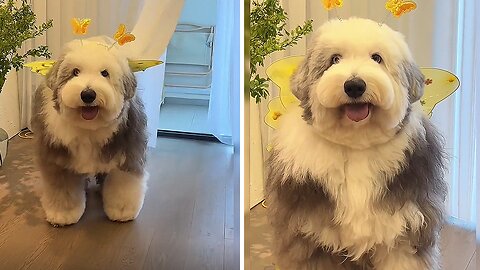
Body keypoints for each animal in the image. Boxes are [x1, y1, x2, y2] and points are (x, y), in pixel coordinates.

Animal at [31, 36, 147, 226]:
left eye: (105, 73)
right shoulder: (59, 161)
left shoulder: (127, 154)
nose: (87, 95)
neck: (89, 127)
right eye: (75, 72)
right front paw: (62, 214)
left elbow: (123, 185)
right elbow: (62, 190)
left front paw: (122, 211)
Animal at [264, 17, 448, 268]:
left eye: (377, 58)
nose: (354, 86)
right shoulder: (308, 237)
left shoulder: (405, 234)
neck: (356, 145)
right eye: (334, 59)